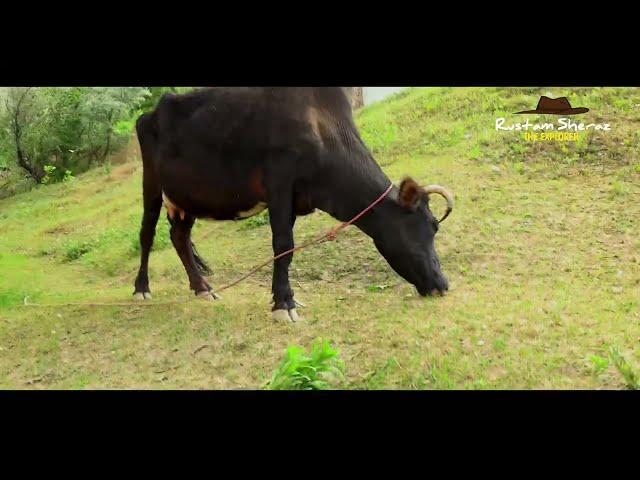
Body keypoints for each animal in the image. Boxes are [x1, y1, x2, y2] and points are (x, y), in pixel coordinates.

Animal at [132, 89, 452, 322]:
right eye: (428, 227)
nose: (442, 284)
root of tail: (151, 113)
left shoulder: (296, 198)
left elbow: (287, 249)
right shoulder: (279, 183)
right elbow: (284, 245)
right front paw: (283, 303)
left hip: (185, 198)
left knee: (179, 238)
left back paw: (202, 289)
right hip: (152, 184)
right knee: (147, 235)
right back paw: (141, 289)